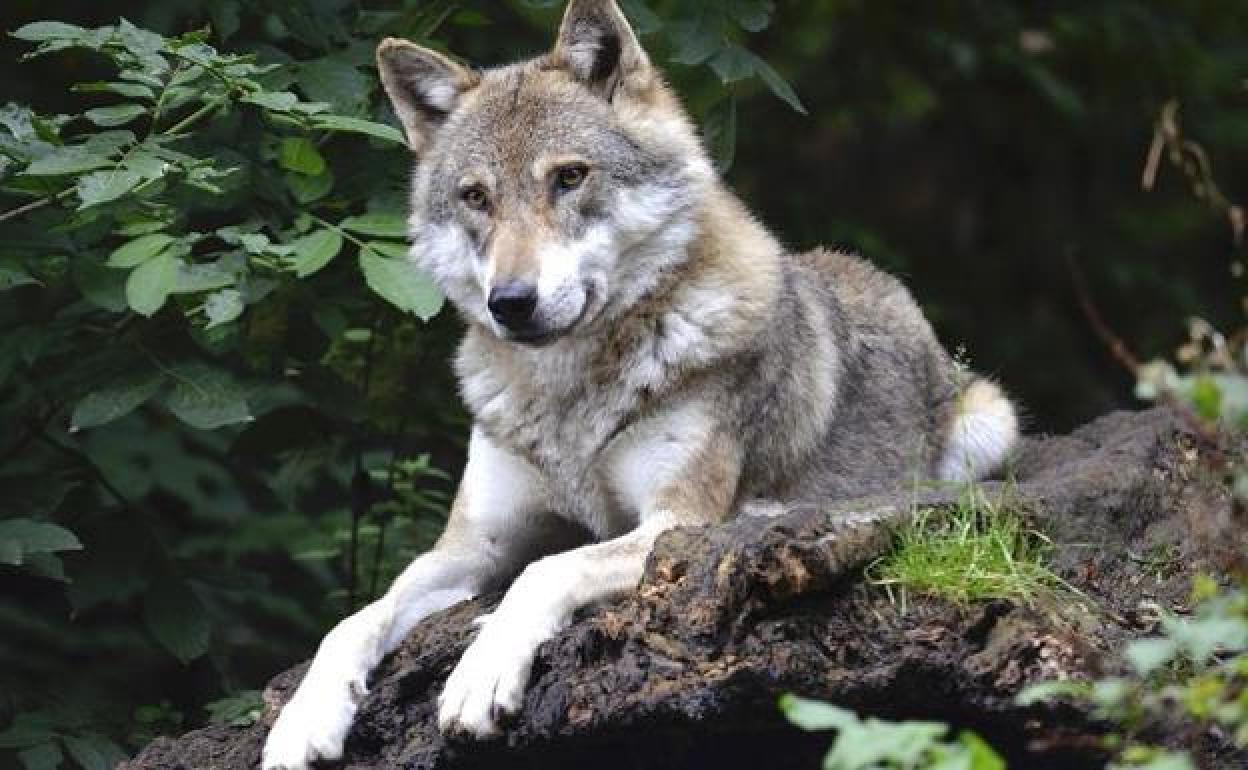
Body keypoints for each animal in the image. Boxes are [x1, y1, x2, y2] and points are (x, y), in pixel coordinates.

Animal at [261, 1, 1019, 767]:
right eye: (476, 197)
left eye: (569, 177)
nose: (511, 302)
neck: (570, 398)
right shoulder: (472, 546)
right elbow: (356, 618)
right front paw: (302, 721)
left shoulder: (673, 522)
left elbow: (546, 570)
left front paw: (480, 675)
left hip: (991, 422)